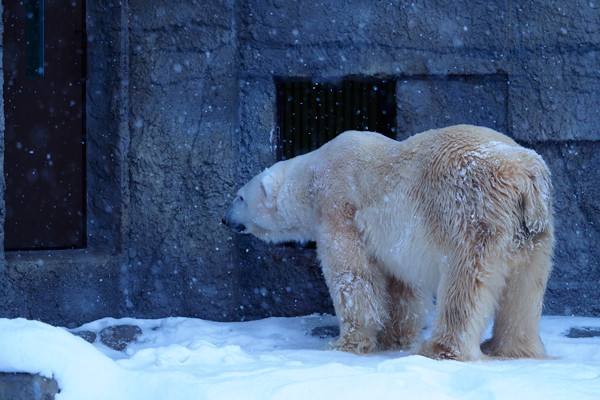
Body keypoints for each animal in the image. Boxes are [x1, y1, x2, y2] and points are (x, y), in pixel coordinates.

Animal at [223, 124, 556, 360]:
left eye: (239, 197)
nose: (225, 219)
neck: (311, 175)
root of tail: (525, 175)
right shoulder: (396, 240)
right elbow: (401, 285)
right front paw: (394, 337)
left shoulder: (337, 201)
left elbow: (351, 273)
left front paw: (345, 342)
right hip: (533, 234)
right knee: (525, 289)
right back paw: (511, 348)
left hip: (472, 214)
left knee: (465, 284)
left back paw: (439, 349)